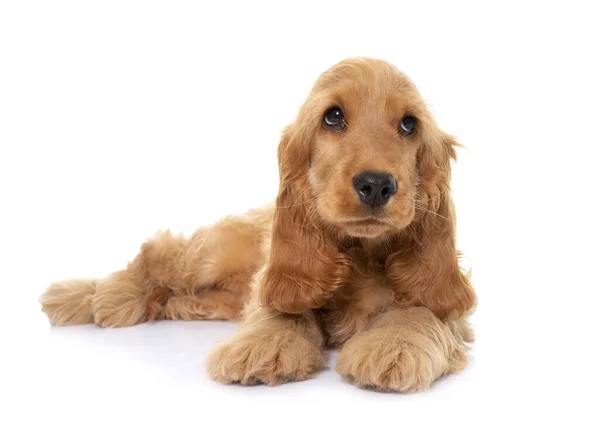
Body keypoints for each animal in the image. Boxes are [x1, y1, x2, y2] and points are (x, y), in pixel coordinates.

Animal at [39, 56, 476, 392]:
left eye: (409, 124)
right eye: (333, 116)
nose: (376, 185)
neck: (361, 252)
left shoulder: (445, 303)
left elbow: (422, 310)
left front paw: (392, 348)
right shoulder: (279, 277)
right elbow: (281, 309)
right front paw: (264, 346)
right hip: (210, 255)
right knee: (156, 253)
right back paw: (93, 296)